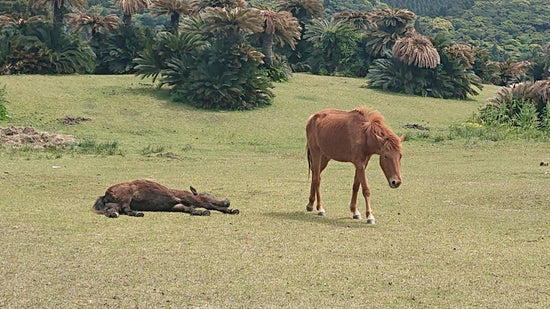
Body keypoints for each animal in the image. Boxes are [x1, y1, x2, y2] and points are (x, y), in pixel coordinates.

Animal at [93, 177, 239, 218]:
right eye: (208, 194)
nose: (227, 201)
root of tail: (106, 193)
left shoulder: (175, 205)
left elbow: (188, 209)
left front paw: (199, 212)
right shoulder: (189, 199)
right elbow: (210, 206)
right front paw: (230, 210)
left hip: (114, 204)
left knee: (112, 211)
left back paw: (114, 214)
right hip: (126, 198)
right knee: (126, 209)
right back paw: (137, 213)